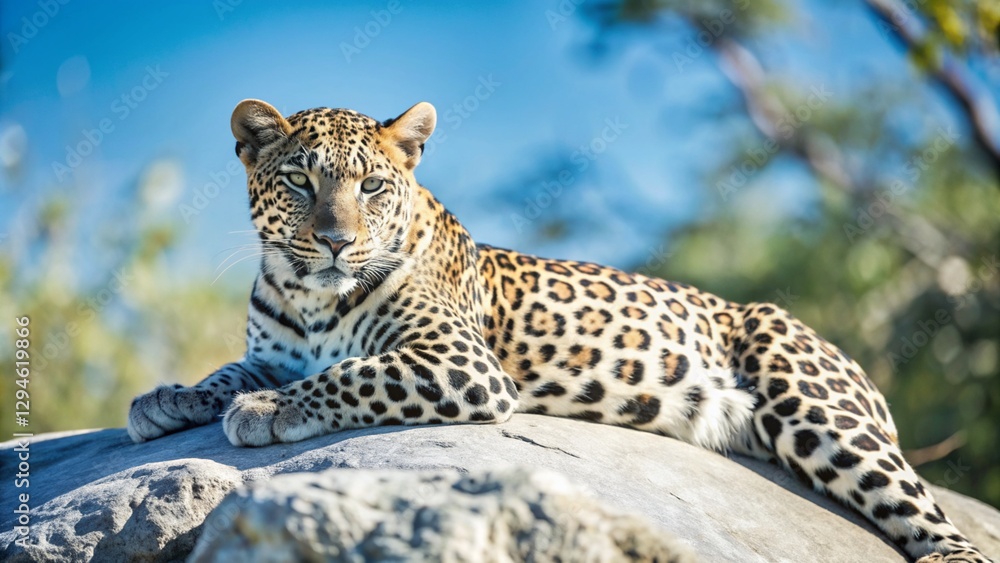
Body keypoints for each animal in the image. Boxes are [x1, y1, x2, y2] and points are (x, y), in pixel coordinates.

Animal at [127, 99, 990, 562]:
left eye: (371, 187)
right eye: (300, 181)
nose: (337, 241)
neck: (309, 293)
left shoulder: (458, 362)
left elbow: (350, 372)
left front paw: (269, 411)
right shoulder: (271, 348)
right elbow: (228, 370)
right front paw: (168, 397)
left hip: (819, 411)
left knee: (938, 521)